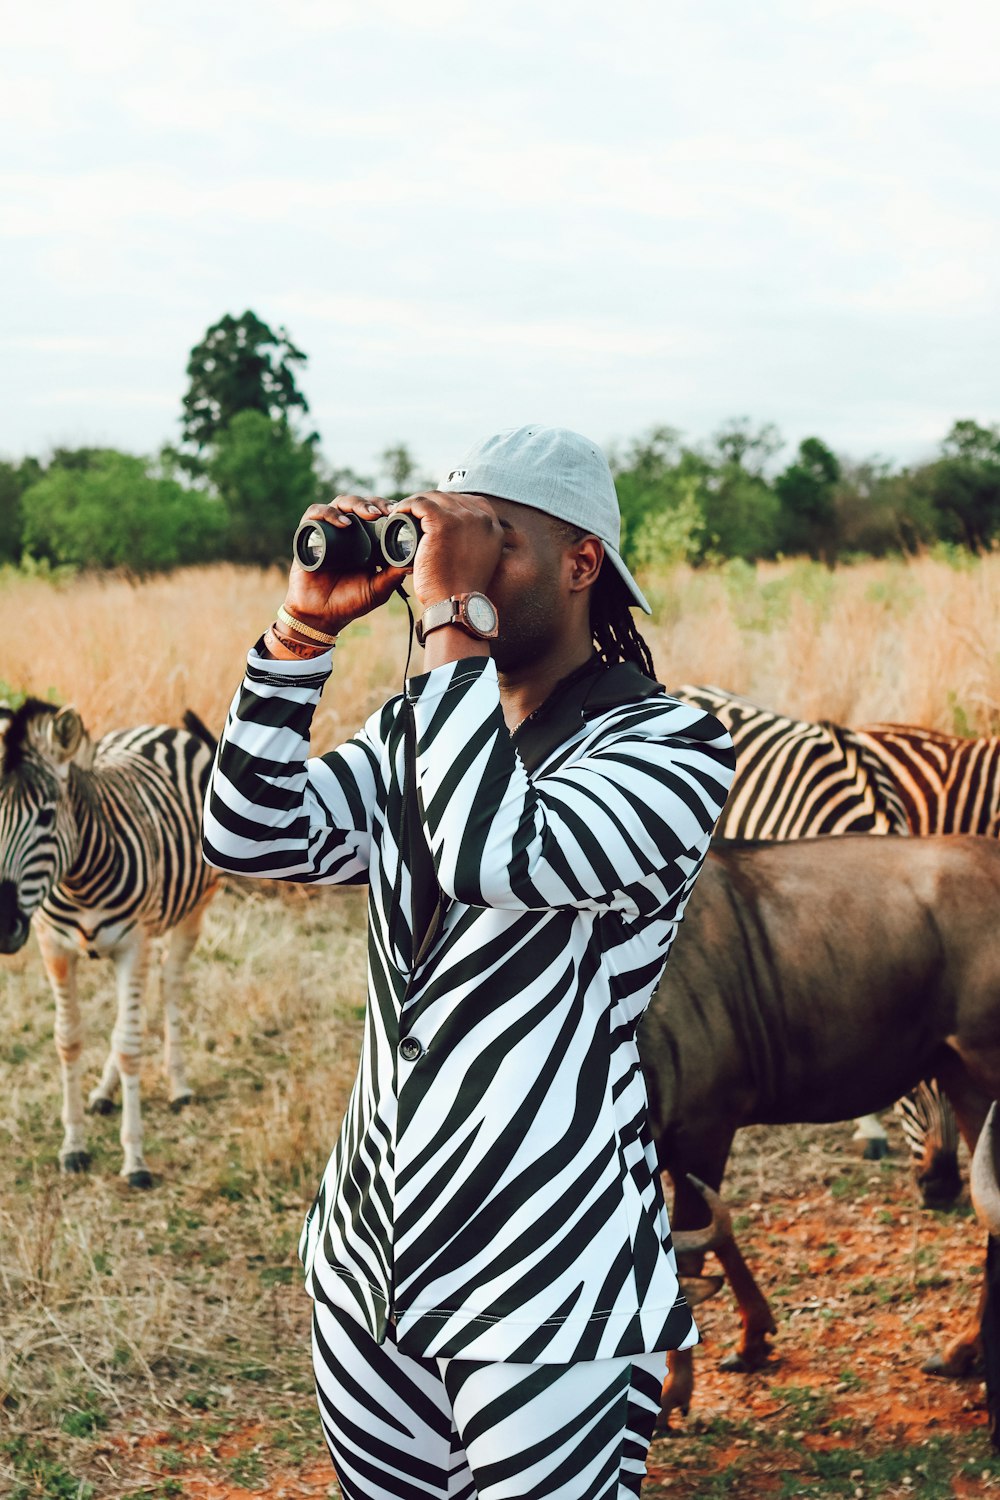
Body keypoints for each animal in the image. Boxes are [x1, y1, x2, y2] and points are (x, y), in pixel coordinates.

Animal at [0, 696, 218, 1188]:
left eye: (46, 816)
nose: (1, 923)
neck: (78, 877)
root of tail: (160, 729)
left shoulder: (132, 945)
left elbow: (130, 1044)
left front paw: (134, 1158)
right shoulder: (54, 946)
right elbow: (69, 1038)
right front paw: (74, 1144)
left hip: (194, 908)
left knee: (169, 984)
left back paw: (178, 1085)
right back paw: (103, 1090)